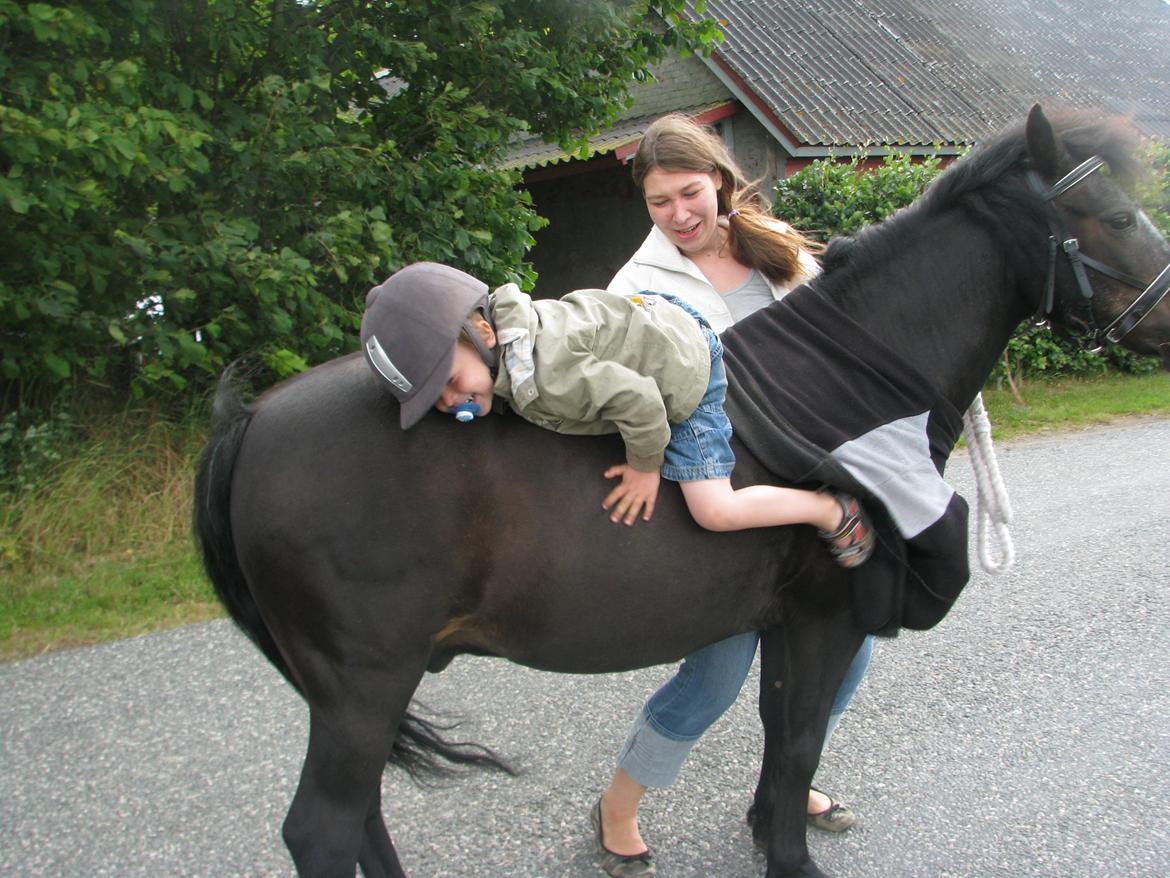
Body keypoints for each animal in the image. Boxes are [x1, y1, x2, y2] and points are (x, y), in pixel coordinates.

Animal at [194, 105, 1170, 878]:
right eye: (1120, 214)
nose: (1166, 314)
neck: (844, 390)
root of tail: (251, 422)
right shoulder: (826, 618)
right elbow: (801, 738)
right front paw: (791, 859)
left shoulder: (785, 624)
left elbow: (781, 734)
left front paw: (771, 828)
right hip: (363, 686)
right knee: (324, 829)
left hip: (352, 695)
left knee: (360, 816)